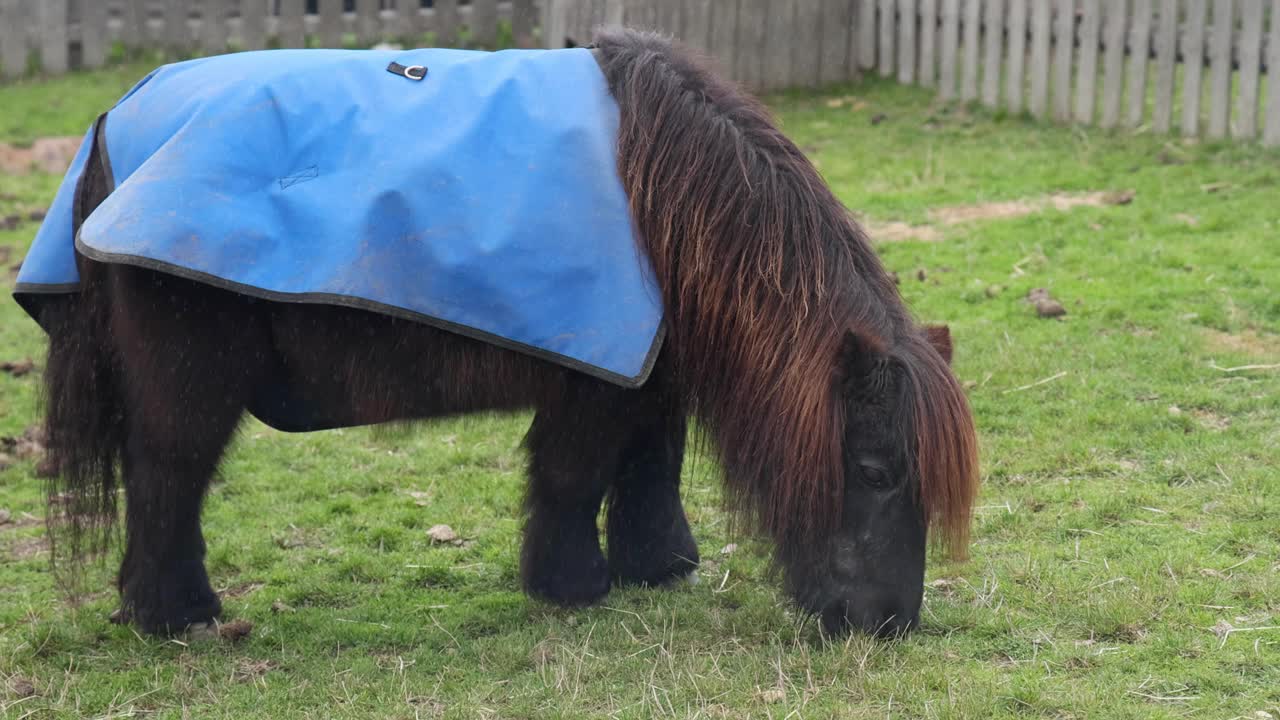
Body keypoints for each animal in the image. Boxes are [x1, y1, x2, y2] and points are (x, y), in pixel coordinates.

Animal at [32, 28, 977, 632]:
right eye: (876, 469)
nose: (889, 622)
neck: (672, 193)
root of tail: (115, 125)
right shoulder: (594, 384)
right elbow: (572, 476)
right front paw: (572, 587)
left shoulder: (651, 374)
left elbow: (650, 466)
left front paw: (657, 567)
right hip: (190, 378)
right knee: (169, 476)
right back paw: (174, 615)